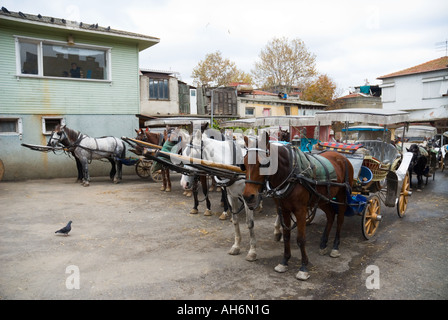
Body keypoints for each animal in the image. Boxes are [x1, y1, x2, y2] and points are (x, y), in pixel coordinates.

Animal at [179, 129, 262, 262]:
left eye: (192, 155)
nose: (184, 183)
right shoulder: (231, 195)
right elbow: (235, 220)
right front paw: (236, 246)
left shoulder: (247, 198)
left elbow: (250, 223)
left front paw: (252, 251)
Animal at [242, 132, 354, 280]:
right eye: (244, 163)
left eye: (264, 163)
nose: (248, 196)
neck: (291, 173)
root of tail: (342, 157)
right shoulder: (284, 209)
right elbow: (287, 235)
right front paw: (284, 261)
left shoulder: (301, 210)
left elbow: (301, 239)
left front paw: (303, 267)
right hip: (322, 199)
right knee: (330, 215)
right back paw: (323, 244)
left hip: (342, 196)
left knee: (340, 219)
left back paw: (335, 247)